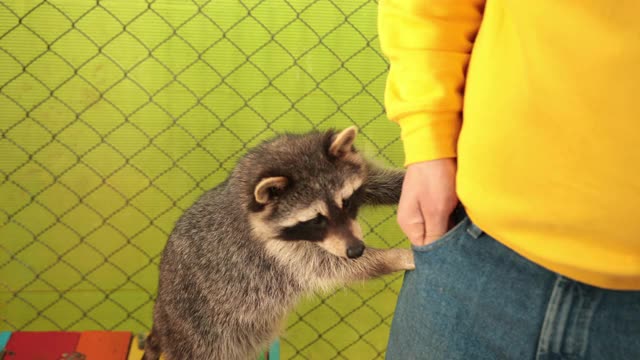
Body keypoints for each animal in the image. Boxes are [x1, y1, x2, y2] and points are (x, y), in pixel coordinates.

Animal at [143, 126, 416, 360]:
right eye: (316, 220)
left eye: (346, 201)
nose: (356, 249)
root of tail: (160, 315)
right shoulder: (275, 255)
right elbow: (328, 265)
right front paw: (392, 257)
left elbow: (374, 180)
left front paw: (404, 184)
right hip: (200, 334)